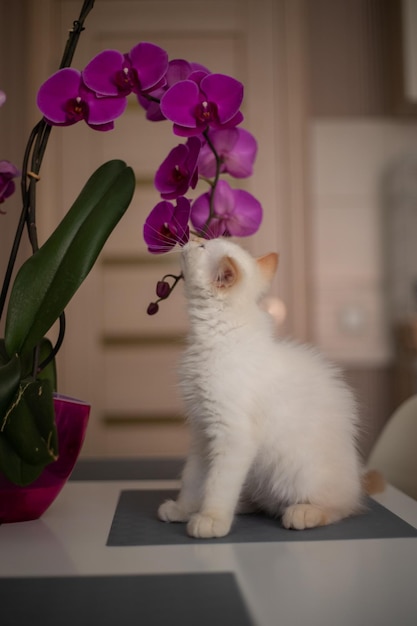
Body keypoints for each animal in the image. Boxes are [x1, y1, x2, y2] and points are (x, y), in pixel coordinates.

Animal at [158, 239, 362, 536]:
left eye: (204, 245)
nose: (191, 239)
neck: (213, 336)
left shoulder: (233, 435)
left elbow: (218, 484)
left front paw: (211, 519)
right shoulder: (201, 432)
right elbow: (193, 479)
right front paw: (184, 509)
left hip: (302, 474)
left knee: (341, 506)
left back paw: (304, 512)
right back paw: (244, 505)